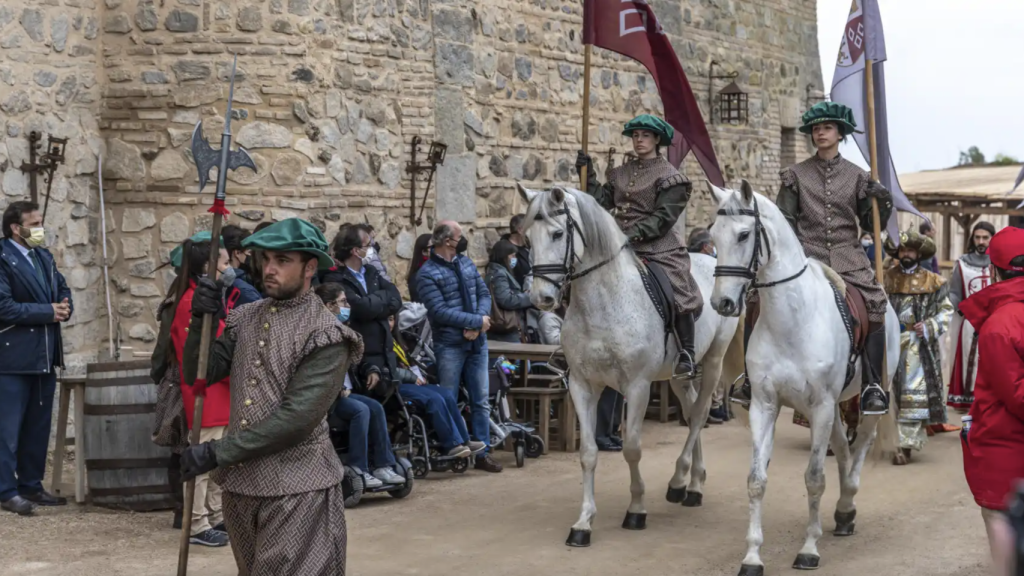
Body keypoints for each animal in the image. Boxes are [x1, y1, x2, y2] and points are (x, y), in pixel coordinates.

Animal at [704, 180, 897, 573]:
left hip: (867, 396)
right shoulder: (765, 405)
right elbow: (757, 480)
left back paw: (847, 502)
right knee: (842, 447)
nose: (722, 304)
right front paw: (752, 556)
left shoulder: (820, 405)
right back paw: (842, 514)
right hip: (829, 406)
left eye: (744, 234)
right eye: (713, 234)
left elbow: (814, 478)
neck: (792, 318)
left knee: (861, 442)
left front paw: (809, 549)